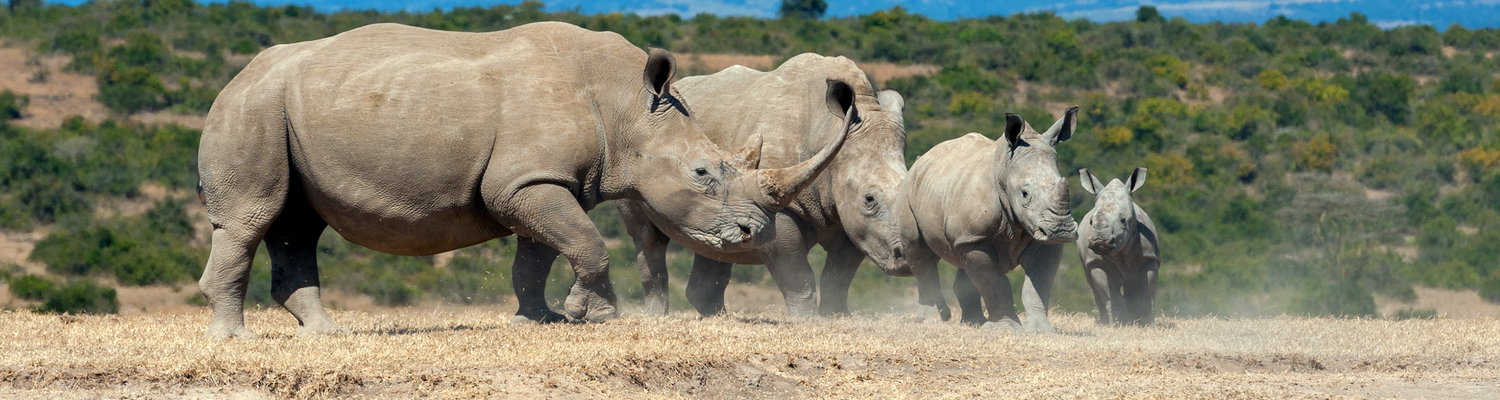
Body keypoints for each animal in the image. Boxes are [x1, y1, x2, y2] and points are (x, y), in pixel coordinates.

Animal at [195, 22, 851, 339]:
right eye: (703, 173)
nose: (752, 233)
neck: (628, 106)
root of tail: (238, 74)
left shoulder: (543, 181)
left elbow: (537, 254)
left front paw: (542, 319)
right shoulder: (526, 182)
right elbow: (584, 242)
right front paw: (595, 316)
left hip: (284, 109)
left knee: (297, 227)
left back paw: (324, 334)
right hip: (251, 107)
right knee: (252, 218)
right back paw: (235, 339)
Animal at [616, 54, 909, 317]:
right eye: (869, 198)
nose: (907, 258)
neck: (829, 130)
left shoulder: (851, 219)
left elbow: (839, 275)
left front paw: (836, 316)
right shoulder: (778, 206)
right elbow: (798, 276)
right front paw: (805, 320)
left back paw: (718, 318)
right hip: (638, 154)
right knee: (647, 237)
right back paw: (656, 316)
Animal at [896, 108, 1079, 332]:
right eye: (1025, 193)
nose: (1061, 230)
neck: (1004, 171)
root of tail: (921, 160)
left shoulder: (1040, 236)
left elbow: (1037, 284)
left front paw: (1040, 330)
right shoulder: (976, 238)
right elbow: (994, 282)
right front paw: (1006, 328)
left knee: (963, 262)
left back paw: (974, 323)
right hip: (908, 191)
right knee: (920, 253)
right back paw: (933, 321)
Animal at [1077, 167, 1160, 326]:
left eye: (1123, 220)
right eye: (1091, 221)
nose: (1100, 241)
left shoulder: (1149, 258)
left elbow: (1141, 292)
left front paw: (1142, 322)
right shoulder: (1097, 261)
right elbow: (1110, 293)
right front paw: (1117, 322)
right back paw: (1105, 322)